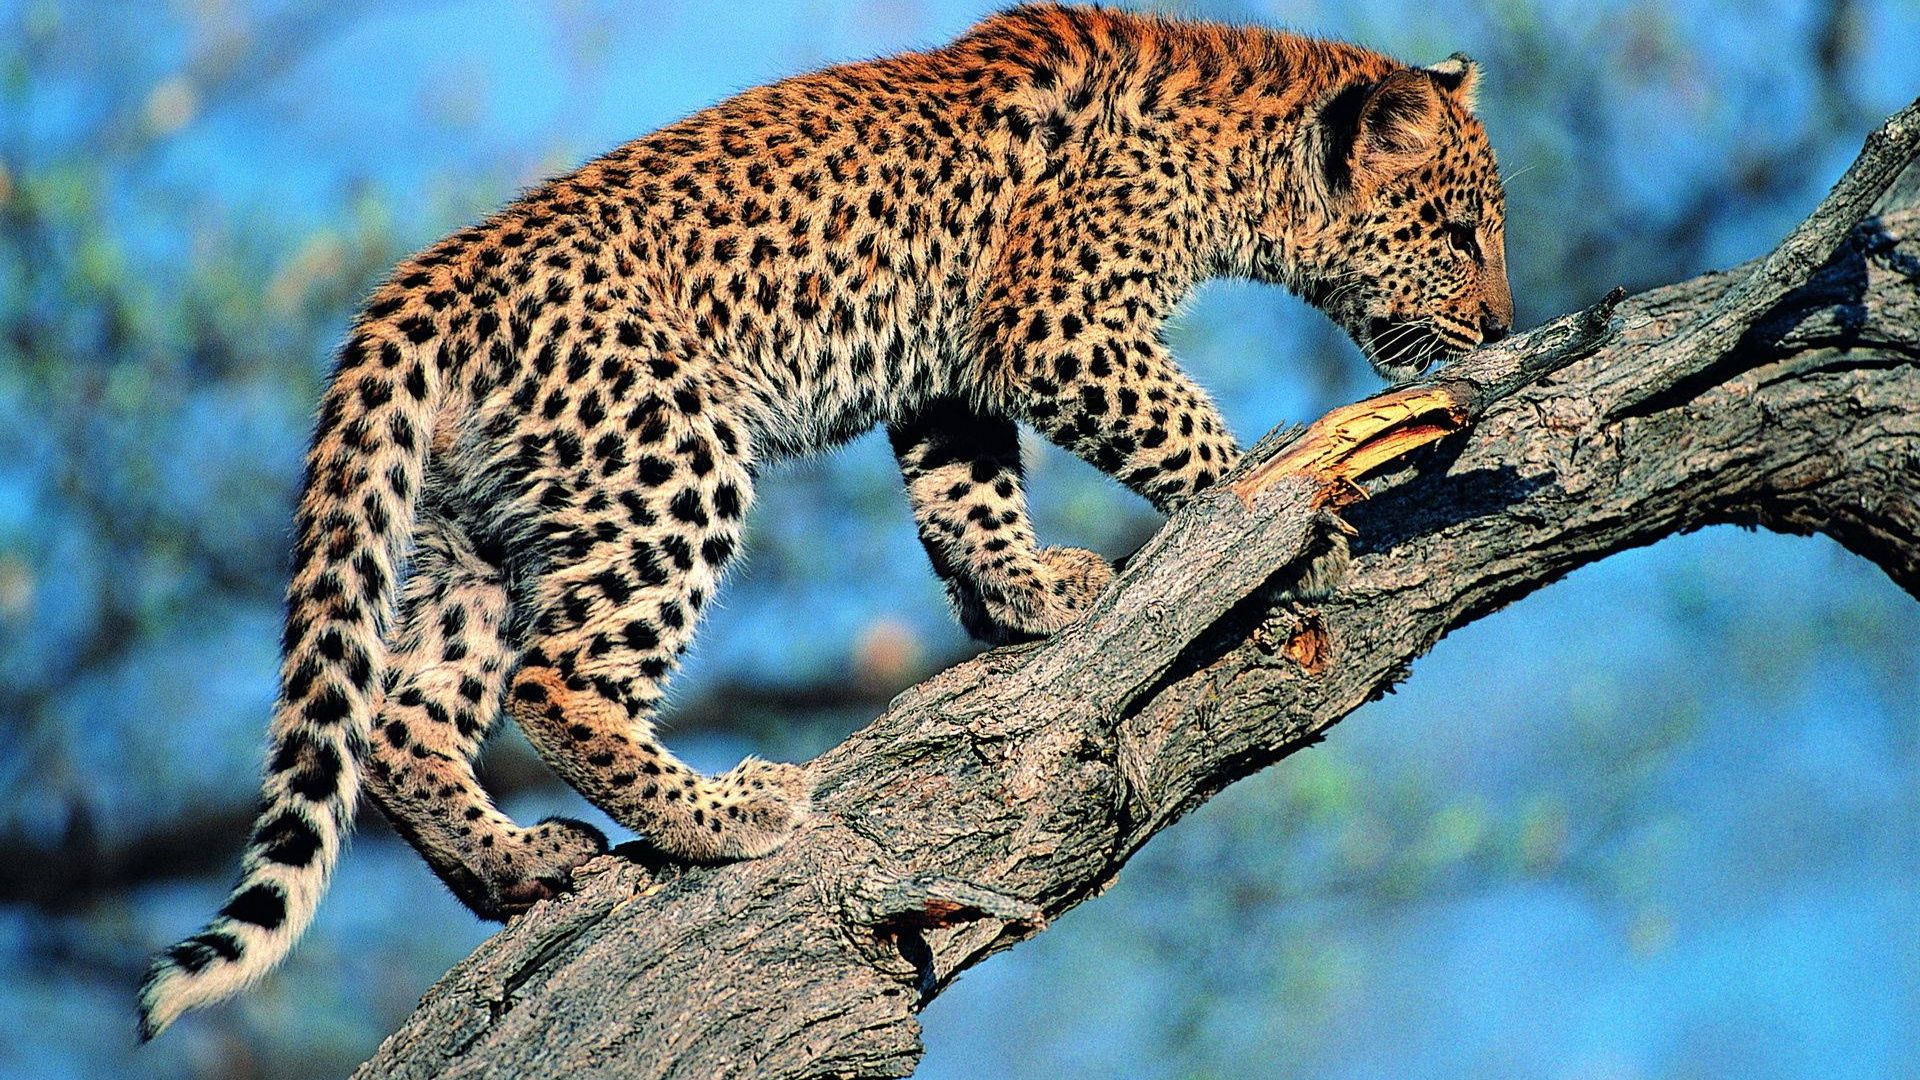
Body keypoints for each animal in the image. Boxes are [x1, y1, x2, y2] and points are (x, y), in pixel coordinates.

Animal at [139, 2, 1512, 1039]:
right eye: (1455, 235)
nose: (1502, 324)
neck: (1243, 161)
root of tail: (428, 282)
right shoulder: (1059, 322)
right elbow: (1180, 431)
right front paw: (1289, 509)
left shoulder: (956, 372)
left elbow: (967, 494)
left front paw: (1026, 595)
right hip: (671, 449)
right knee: (556, 678)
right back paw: (727, 817)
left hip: (472, 529)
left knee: (405, 716)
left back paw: (519, 865)